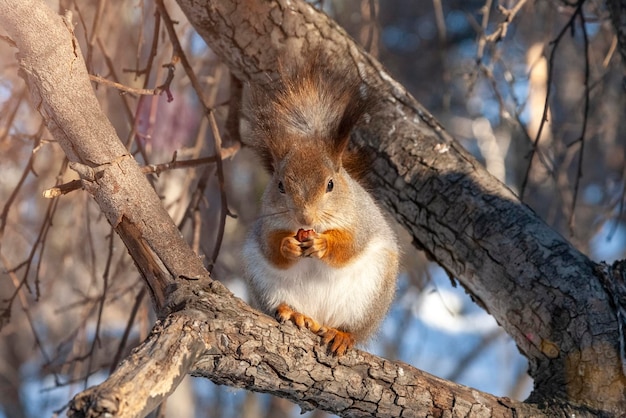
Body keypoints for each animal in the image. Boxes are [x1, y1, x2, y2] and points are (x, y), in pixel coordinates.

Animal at [241, 55, 398, 356]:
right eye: (280, 185)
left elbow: (351, 245)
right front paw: (287, 245)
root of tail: (320, 318)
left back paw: (341, 334)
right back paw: (295, 314)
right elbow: (270, 248)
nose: (306, 218)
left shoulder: (362, 220)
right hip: (263, 283)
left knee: (351, 328)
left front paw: (324, 244)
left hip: (370, 295)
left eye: (330, 184)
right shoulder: (266, 224)